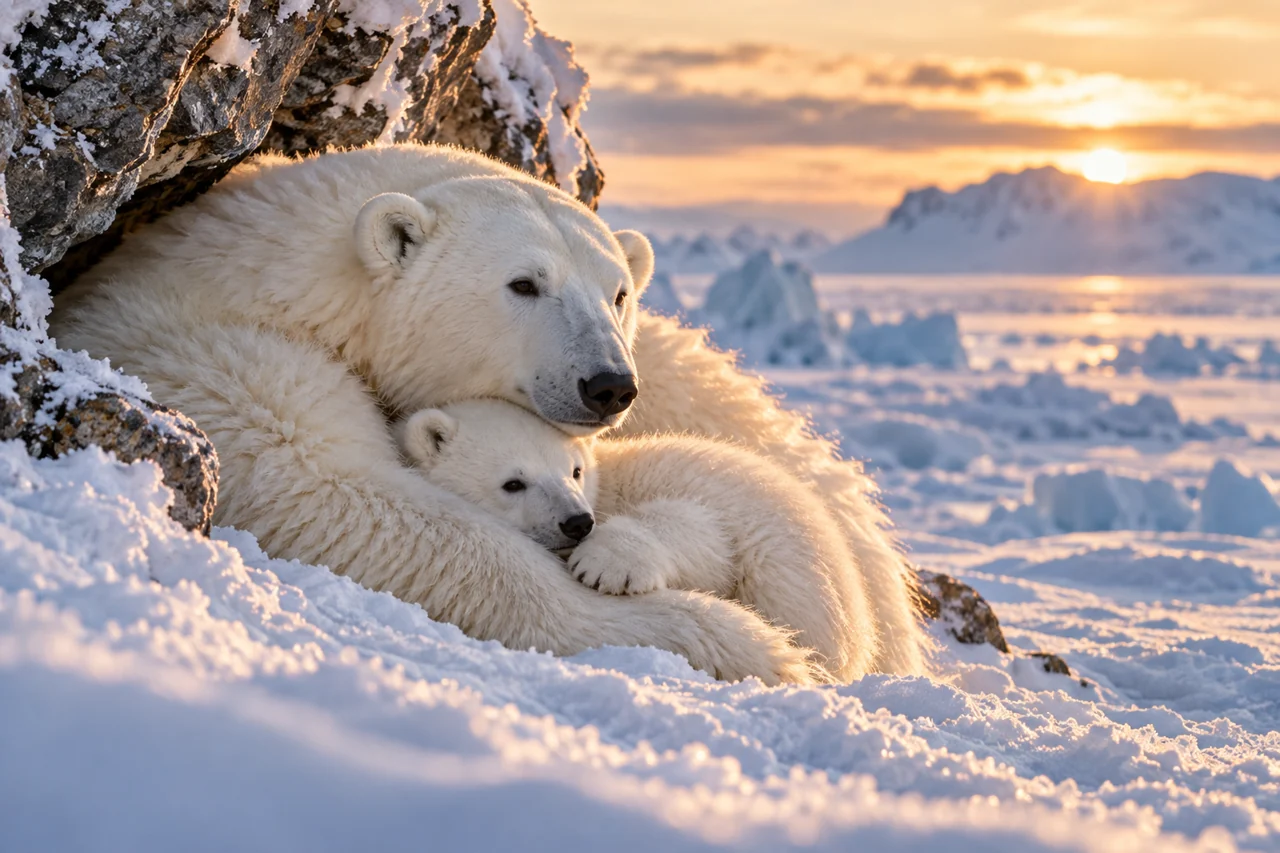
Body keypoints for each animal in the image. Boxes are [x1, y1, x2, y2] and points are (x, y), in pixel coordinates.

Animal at [397, 398, 877, 682]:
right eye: (513, 483)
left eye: (574, 470)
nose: (577, 522)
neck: (605, 490)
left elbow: (702, 532)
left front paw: (605, 563)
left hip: (793, 574)